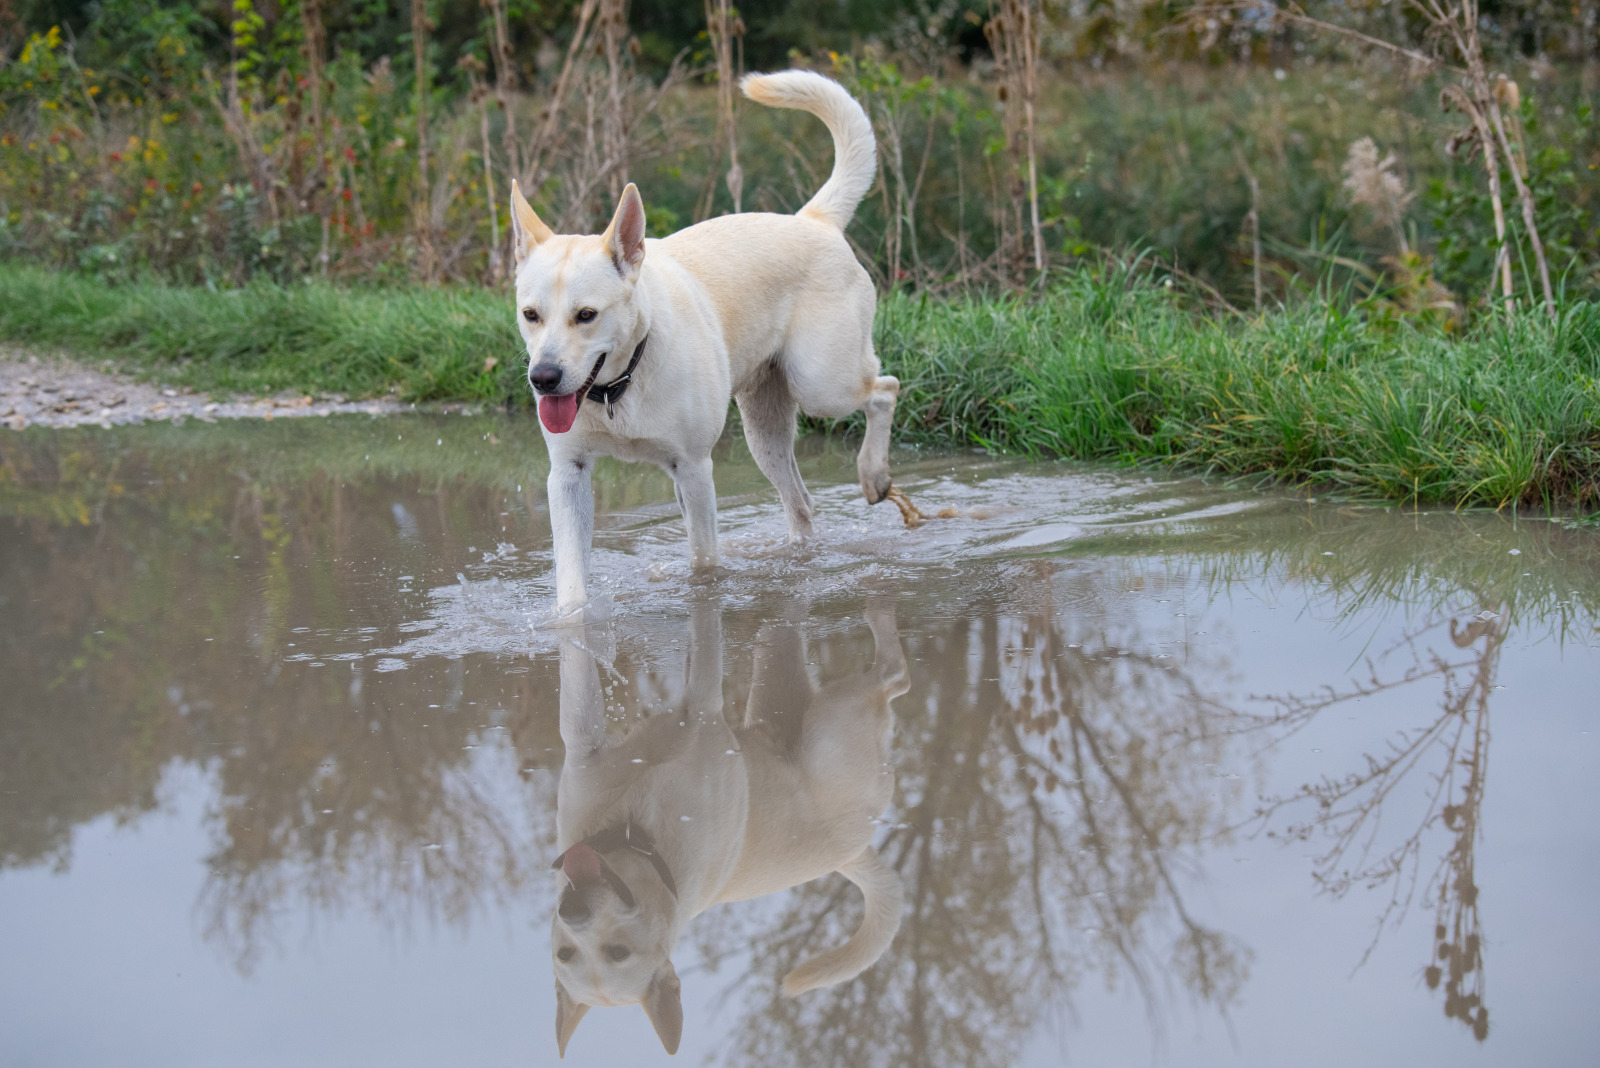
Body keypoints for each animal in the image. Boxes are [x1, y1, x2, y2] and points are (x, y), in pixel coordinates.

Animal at [505, 70, 896, 613]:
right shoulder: (569, 473)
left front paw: (705, 596)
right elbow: (570, 578)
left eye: (586, 316)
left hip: (822, 383)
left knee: (884, 389)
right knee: (800, 504)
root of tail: (812, 220)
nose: (543, 379)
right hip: (764, 430)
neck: (620, 385)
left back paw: (873, 474)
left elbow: (705, 563)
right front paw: (571, 618)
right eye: (531, 315)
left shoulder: (692, 468)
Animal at [550, 604, 908, 1055]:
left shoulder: (696, 708)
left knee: (894, 675)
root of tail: (854, 856)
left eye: (618, 953)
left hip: (819, 714)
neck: (631, 835)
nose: (571, 911)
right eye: (565, 954)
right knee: (887, 672)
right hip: (797, 694)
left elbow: (697, 635)